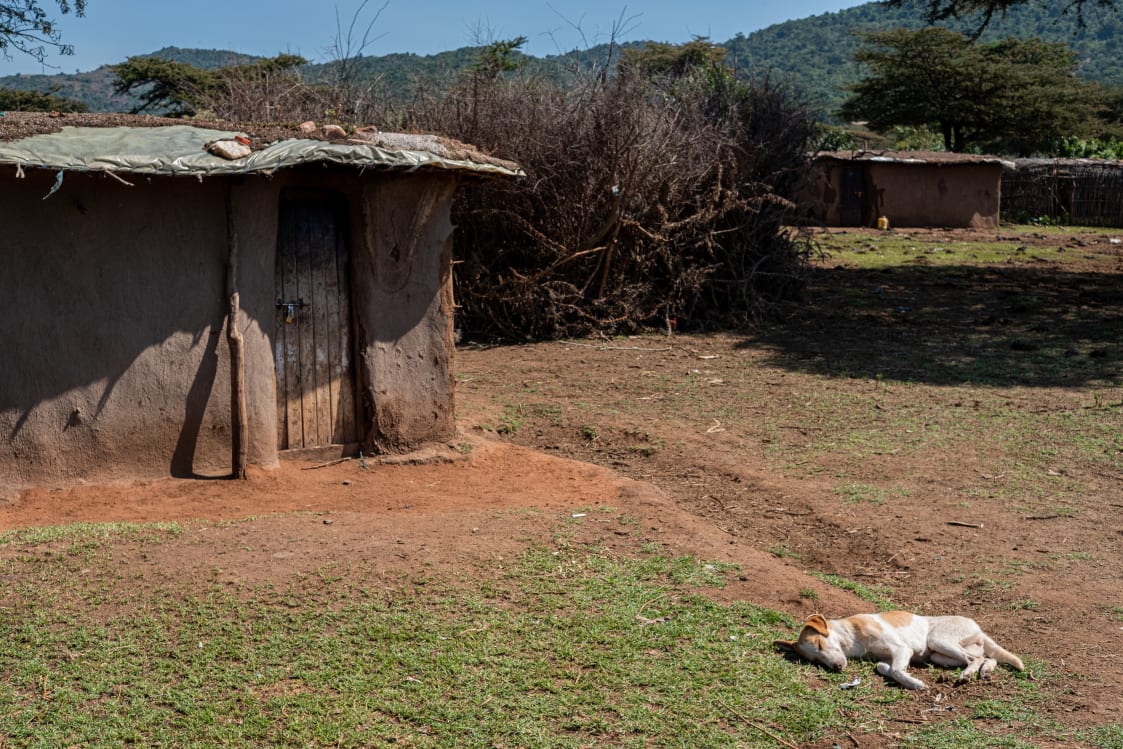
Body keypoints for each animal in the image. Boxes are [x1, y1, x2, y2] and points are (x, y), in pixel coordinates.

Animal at [772, 610, 1028, 691]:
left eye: (819, 645)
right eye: (815, 660)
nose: (836, 668)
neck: (852, 634)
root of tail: (978, 628)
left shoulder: (901, 648)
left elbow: (896, 670)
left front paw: (914, 683)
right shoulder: (889, 655)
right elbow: (883, 666)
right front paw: (896, 673)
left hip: (938, 640)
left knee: (975, 659)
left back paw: (969, 674)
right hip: (940, 656)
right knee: (985, 657)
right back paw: (984, 671)